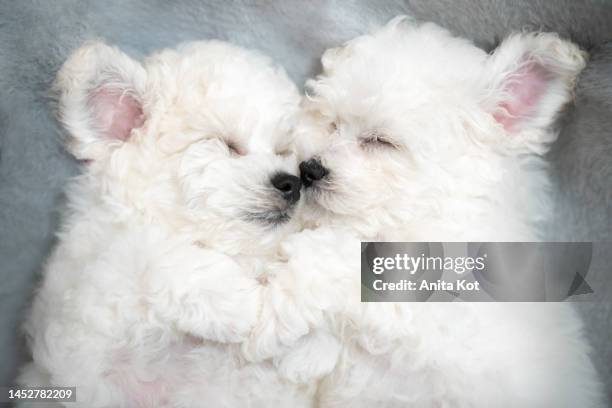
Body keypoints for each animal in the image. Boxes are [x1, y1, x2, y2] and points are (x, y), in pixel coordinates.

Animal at [18, 39, 316, 406]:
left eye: (283, 150)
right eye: (227, 145)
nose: (292, 182)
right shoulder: (90, 295)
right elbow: (149, 253)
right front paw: (240, 305)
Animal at [245, 16, 608, 408]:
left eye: (380, 141)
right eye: (332, 123)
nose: (309, 169)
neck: (422, 213)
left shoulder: (441, 311)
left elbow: (336, 262)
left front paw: (272, 322)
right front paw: (305, 355)